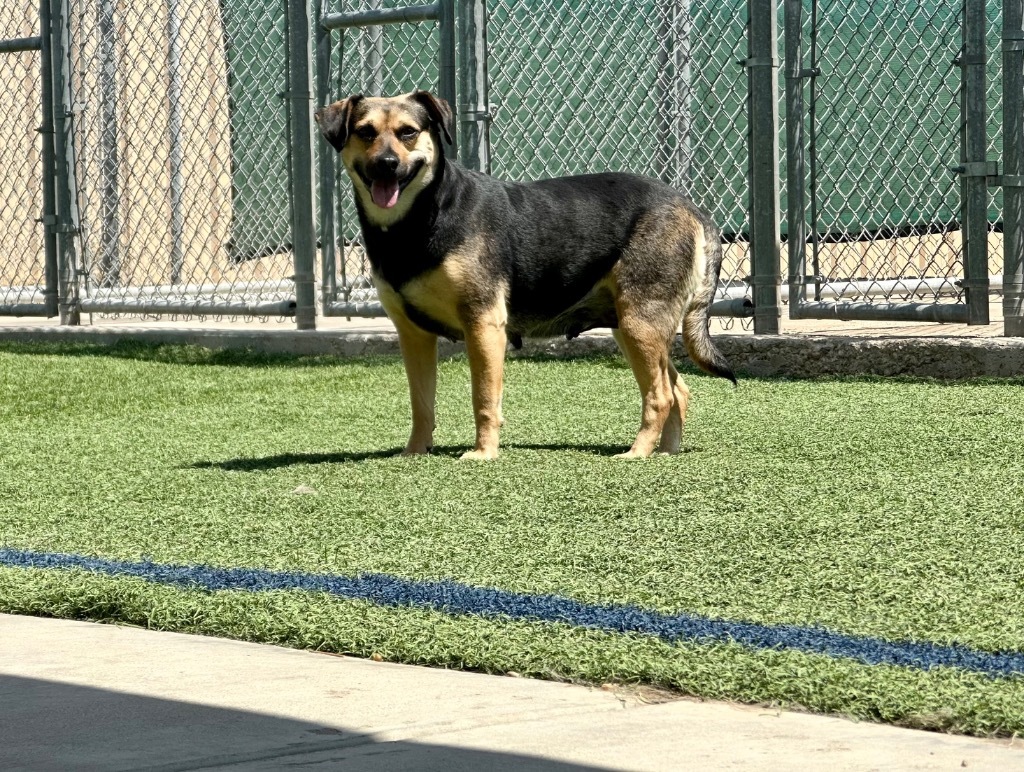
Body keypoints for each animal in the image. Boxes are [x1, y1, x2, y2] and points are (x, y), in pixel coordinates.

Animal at [315, 90, 733, 456]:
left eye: (408, 132)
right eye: (365, 132)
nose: (386, 163)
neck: (417, 220)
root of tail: (691, 207)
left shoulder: (483, 324)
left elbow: (483, 397)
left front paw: (483, 454)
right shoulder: (412, 334)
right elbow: (421, 404)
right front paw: (415, 453)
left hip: (640, 322)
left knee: (659, 395)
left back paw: (637, 453)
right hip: (634, 327)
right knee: (678, 390)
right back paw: (666, 452)